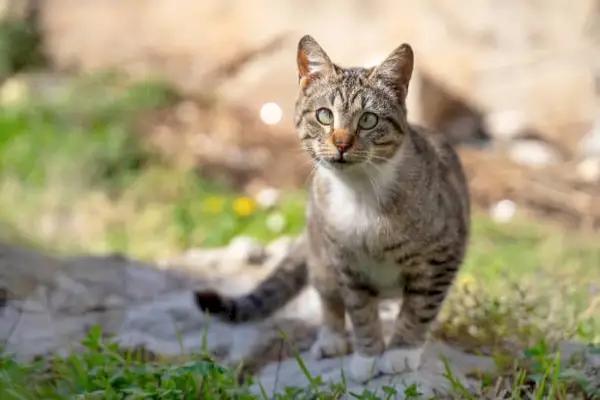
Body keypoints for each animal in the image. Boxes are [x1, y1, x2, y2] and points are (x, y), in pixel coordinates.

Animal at [195, 34, 472, 382]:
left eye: (368, 119)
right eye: (324, 115)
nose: (341, 143)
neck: (360, 194)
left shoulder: (441, 258)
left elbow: (419, 309)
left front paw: (401, 352)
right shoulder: (346, 265)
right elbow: (361, 313)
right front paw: (368, 356)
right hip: (321, 256)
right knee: (329, 300)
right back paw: (332, 339)